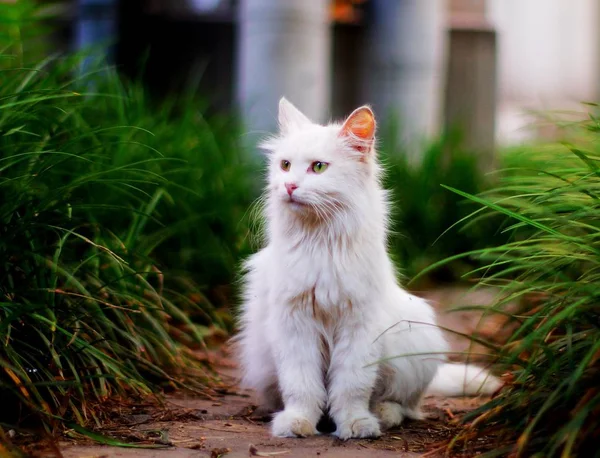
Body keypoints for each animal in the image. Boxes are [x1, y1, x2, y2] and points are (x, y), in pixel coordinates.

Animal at [236, 98, 502, 438]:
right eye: (284, 165)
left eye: (318, 167)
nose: (290, 186)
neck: (320, 241)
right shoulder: (295, 325)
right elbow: (302, 386)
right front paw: (298, 423)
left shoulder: (359, 326)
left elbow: (351, 386)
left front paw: (355, 424)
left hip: (415, 341)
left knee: (405, 405)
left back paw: (383, 416)